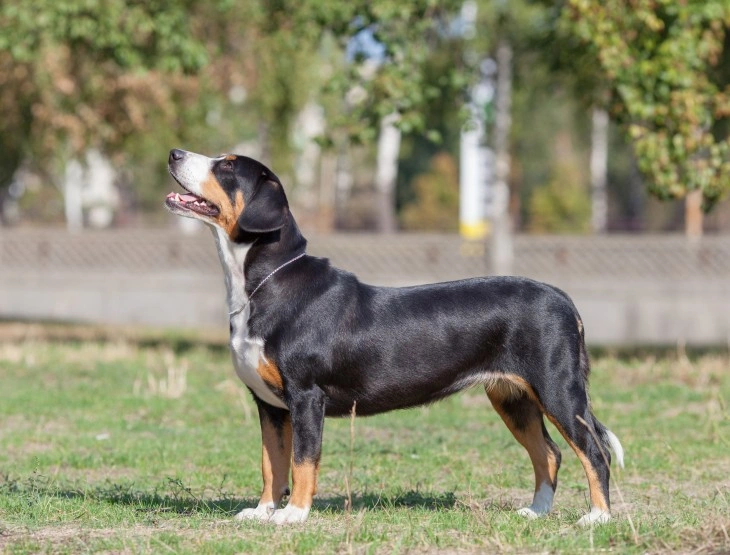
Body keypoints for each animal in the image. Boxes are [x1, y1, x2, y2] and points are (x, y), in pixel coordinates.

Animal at [165, 148, 620, 524]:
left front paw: (293, 515)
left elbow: (302, 462)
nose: (174, 153)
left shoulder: (305, 397)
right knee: (549, 453)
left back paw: (597, 518)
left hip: (557, 389)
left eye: (226, 166)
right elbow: (271, 463)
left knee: (593, 452)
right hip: (513, 398)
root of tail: (563, 298)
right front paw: (262, 512)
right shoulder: (270, 406)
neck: (264, 286)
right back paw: (537, 511)